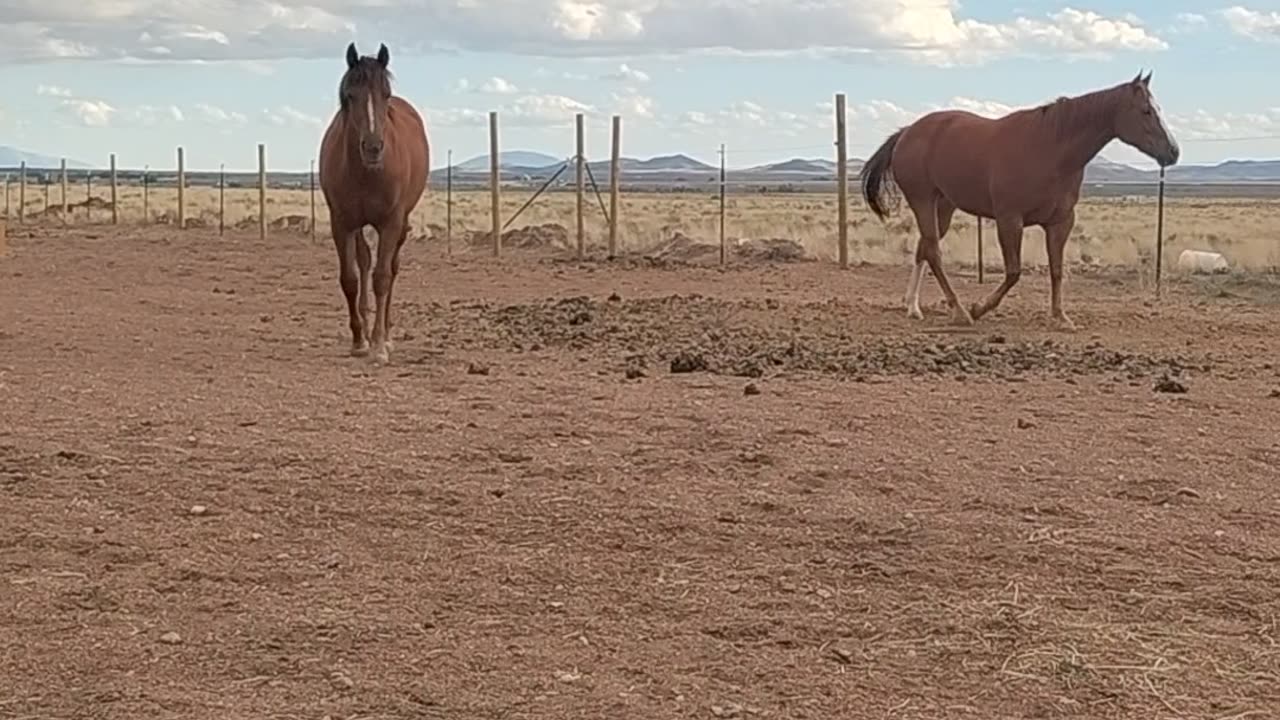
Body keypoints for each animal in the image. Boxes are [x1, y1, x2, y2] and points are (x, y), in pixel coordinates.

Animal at [318, 41, 430, 361]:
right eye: (350, 95)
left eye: (386, 94)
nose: (373, 147)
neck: (366, 173)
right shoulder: (342, 223)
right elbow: (350, 279)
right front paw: (359, 340)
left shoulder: (391, 222)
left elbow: (382, 278)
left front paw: (379, 344)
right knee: (365, 262)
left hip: (400, 224)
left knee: (391, 269)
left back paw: (386, 334)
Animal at [860, 71, 1177, 330]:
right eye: (1146, 111)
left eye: (1159, 109)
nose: (1173, 152)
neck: (1050, 149)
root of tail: (906, 132)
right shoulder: (1009, 220)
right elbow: (1014, 272)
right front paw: (979, 308)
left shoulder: (1060, 223)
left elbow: (1057, 270)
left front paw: (1061, 317)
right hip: (923, 201)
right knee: (934, 253)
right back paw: (960, 311)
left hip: (944, 206)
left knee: (923, 248)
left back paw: (913, 307)